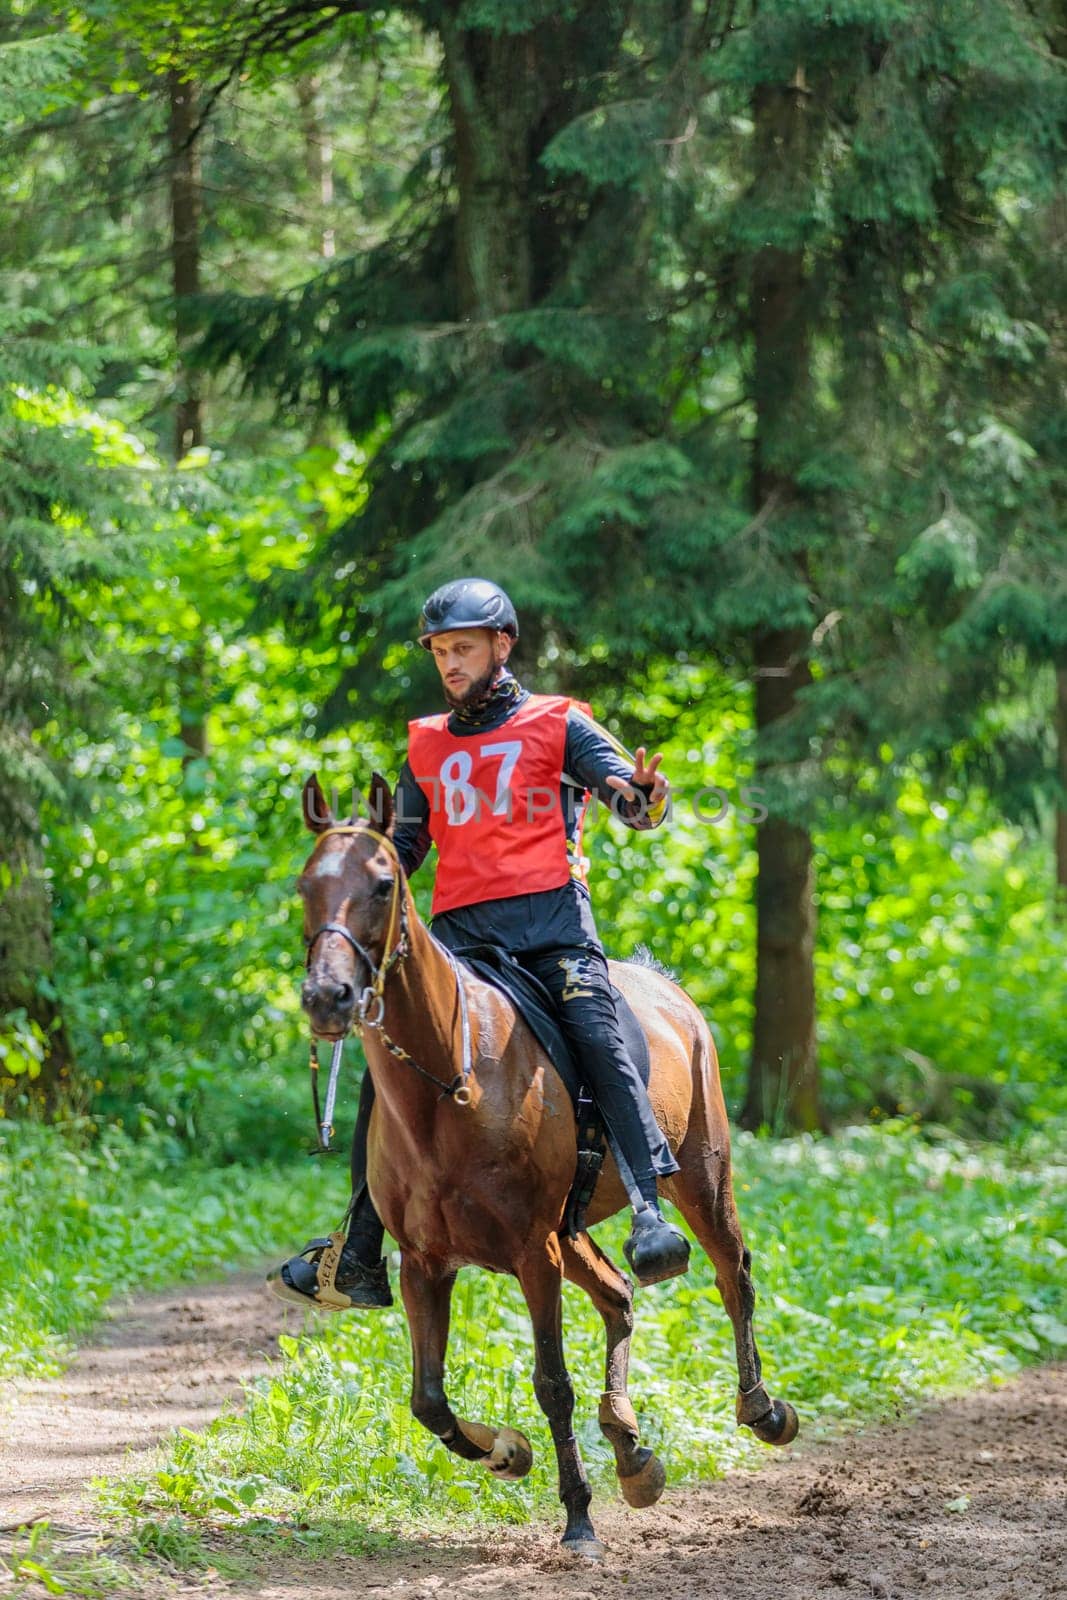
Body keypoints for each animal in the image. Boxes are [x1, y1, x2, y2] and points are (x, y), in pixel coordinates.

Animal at [295, 774, 796, 1561]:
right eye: (304, 887)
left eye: (381, 884)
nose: (327, 997)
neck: (456, 1082)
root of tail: (666, 988)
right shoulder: (424, 1263)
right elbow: (428, 1398)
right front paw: (507, 1452)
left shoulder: (534, 1254)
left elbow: (551, 1382)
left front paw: (578, 1519)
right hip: (573, 1229)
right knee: (618, 1295)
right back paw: (631, 1450)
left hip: (696, 1177)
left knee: (731, 1273)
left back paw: (761, 1410)